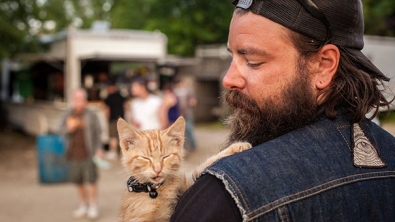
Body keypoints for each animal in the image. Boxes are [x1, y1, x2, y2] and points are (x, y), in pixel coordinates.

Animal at [117, 117, 252, 221]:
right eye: (145, 158)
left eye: (166, 157)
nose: (157, 169)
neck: (156, 190)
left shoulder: (186, 184)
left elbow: (204, 167)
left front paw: (237, 146)